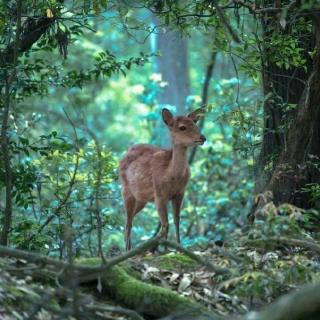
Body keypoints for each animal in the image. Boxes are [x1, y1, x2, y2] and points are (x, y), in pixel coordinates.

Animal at [119, 109, 206, 251]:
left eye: (195, 124)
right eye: (182, 127)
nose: (202, 138)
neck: (172, 174)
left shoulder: (180, 194)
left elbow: (176, 220)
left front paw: (178, 247)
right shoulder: (159, 195)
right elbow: (165, 225)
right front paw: (165, 250)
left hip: (142, 199)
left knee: (128, 220)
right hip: (126, 191)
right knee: (128, 222)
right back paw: (128, 250)